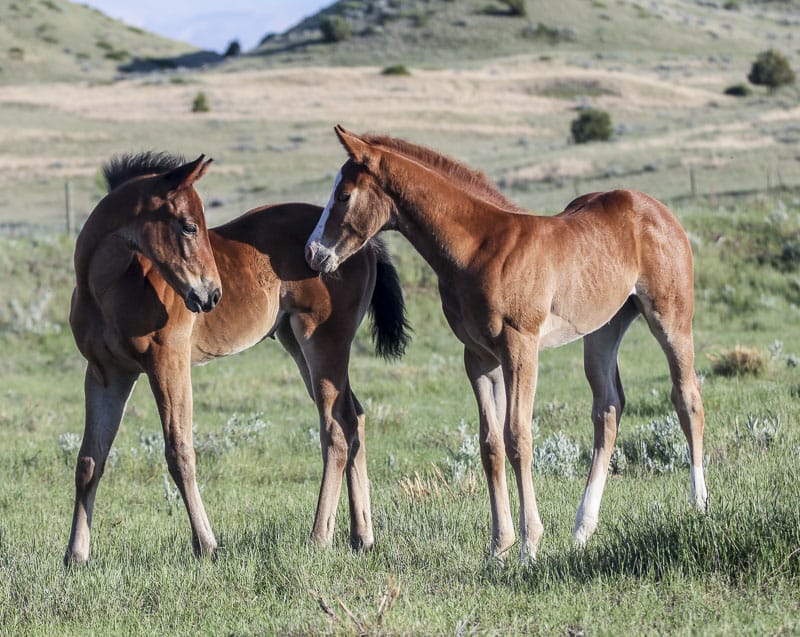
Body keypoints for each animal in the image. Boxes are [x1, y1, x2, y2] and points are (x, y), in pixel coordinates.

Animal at [65, 152, 410, 564]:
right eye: (188, 226)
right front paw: (75, 555)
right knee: (354, 416)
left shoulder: (168, 364)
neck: (108, 288)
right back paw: (362, 536)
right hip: (296, 343)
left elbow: (179, 452)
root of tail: (366, 246)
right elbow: (89, 460)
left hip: (324, 341)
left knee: (336, 428)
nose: (211, 295)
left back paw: (319, 537)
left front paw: (207, 545)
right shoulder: (106, 374)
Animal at [304, 126, 708, 560]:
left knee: (687, 397)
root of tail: (658, 209)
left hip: (671, 318)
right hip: (602, 330)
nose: (313, 254)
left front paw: (529, 543)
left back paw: (699, 504)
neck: (481, 249)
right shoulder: (480, 358)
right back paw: (583, 528)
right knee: (608, 410)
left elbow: (518, 437)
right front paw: (500, 545)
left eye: (344, 195)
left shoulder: (520, 348)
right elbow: (491, 446)